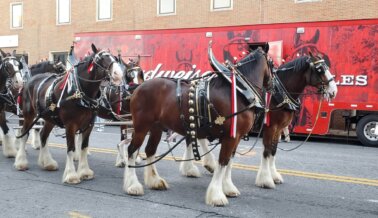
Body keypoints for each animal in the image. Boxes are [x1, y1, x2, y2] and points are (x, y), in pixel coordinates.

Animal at [12, 43, 122, 184]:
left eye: (114, 57)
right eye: (101, 59)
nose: (118, 74)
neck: (79, 91)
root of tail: (29, 81)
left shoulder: (89, 125)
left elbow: (84, 147)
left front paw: (85, 172)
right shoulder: (70, 125)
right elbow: (71, 148)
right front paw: (71, 175)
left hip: (49, 118)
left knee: (43, 136)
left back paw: (47, 163)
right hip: (28, 115)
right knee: (24, 134)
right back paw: (21, 162)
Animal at [121, 42, 272, 206]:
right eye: (272, 63)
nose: (272, 86)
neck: (239, 90)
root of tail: (138, 88)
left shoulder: (236, 137)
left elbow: (229, 162)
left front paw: (228, 187)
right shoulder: (230, 137)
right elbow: (223, 162)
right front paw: (217, 195)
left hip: (156, 128)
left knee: (150, 150)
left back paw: (155, 181)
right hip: (141, 127)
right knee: (131, 150)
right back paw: (133, 185)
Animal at [255, 52, 338, 187]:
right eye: (319, 69)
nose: (334, 91)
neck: (278, 94)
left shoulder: (278, 129)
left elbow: (273, 150)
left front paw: (274, 176)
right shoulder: (270, 127)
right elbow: (267, 151)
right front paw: (265, 180)